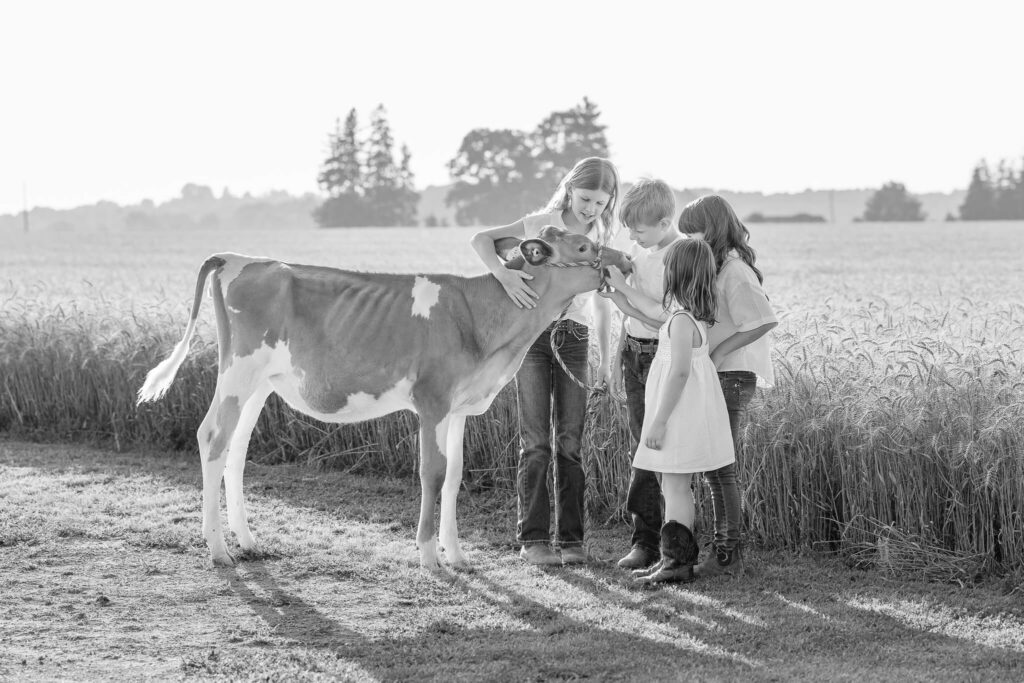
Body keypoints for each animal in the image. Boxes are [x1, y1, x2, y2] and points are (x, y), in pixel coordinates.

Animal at [137, 226, 631, 570]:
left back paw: (247, 540)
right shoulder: (432, 400)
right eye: (584, 246)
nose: (625, 259)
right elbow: (432, 473)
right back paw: (218, 549)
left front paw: (457, 555)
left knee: (236, 450)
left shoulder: (459, 406)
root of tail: (240, 258)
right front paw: (429, 556)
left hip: (260, 381)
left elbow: (455, 475)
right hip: (239, 372)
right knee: (213, 438)